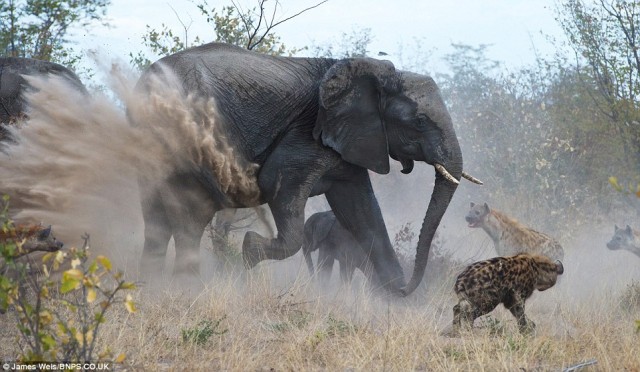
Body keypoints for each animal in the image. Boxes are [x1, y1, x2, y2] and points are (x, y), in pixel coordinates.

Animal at [132, 42, 482, 294]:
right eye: (419, 122)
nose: (406, 286)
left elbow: (362, 209)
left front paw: (393, 300)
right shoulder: (305, 134)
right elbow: (279, 186)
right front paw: (249, 252)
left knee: (156, 220)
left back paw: (150, 287)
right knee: (190, 216)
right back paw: (185, 290)